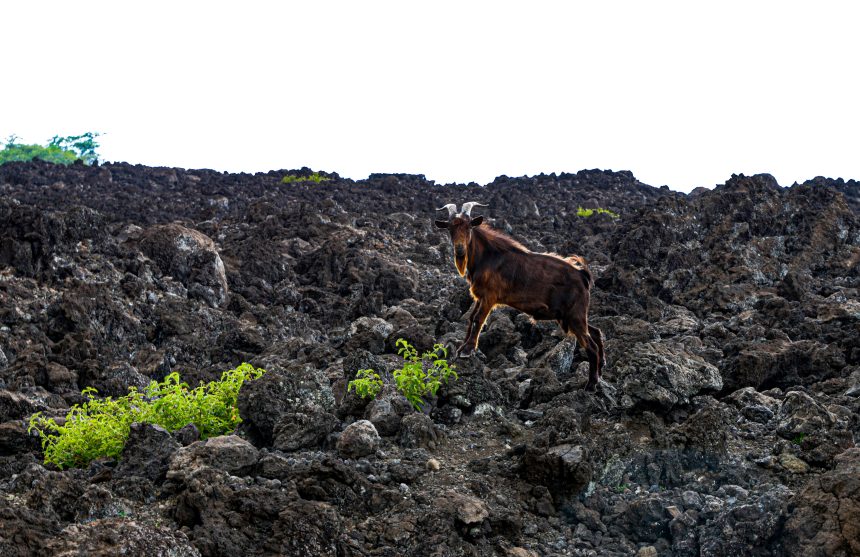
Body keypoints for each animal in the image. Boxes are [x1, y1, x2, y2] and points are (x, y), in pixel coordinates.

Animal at [435, 202, 605, 390]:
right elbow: (471, 318)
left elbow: (478, 319)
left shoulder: (489, 297)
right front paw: (462, 347)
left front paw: (468, 350)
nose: (459, 250)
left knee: (591, 345)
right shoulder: (480, 297)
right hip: (571, 316)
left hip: (575, 315)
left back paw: (590, 384)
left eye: (469, 227)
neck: (487, 257)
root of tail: (583, 275)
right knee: (596, 332)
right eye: (450, 228)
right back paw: (600, 371)